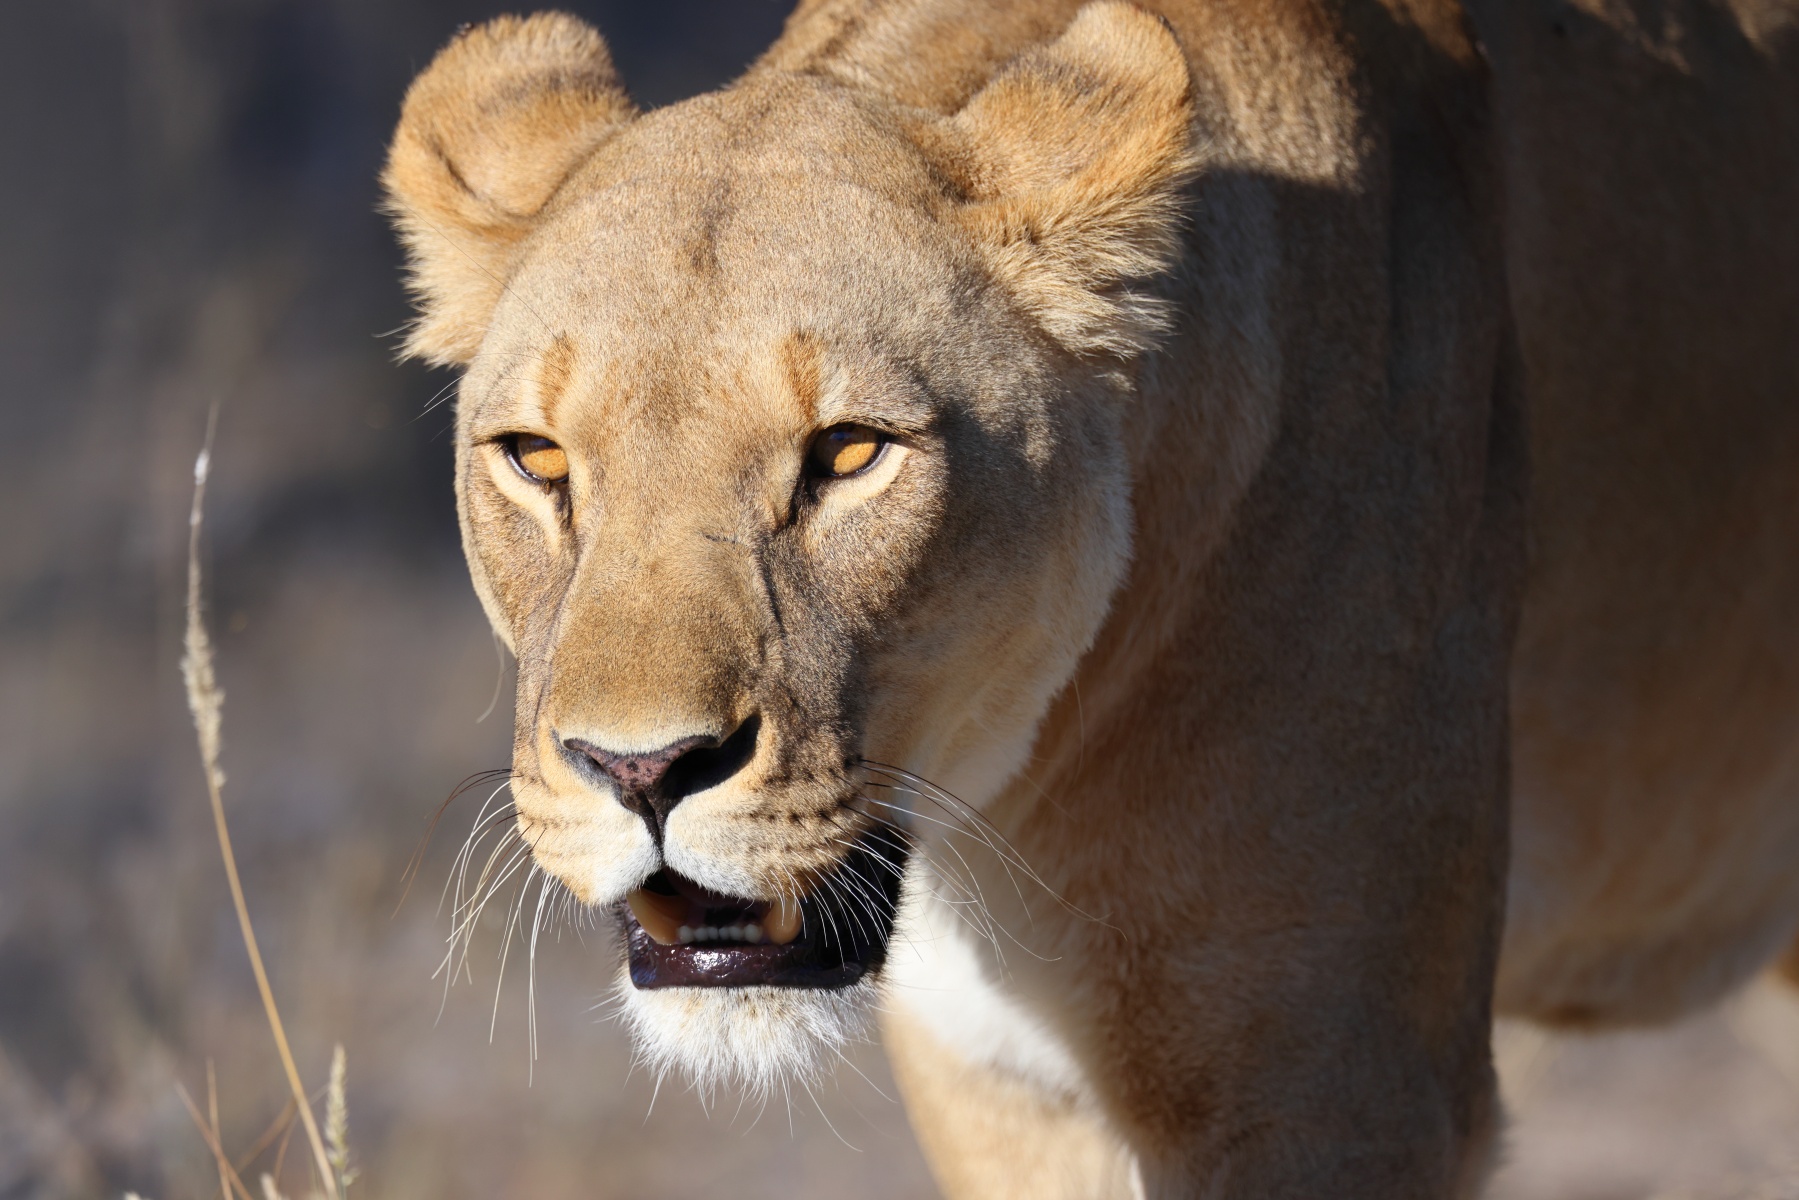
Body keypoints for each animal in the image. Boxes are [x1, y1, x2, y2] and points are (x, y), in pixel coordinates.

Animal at [382, 2, 1799, 1195]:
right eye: (538, 460)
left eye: (849, 454)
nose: (641, 770)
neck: (1005, 806)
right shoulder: (1001, 1086)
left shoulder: (1331, 1091)